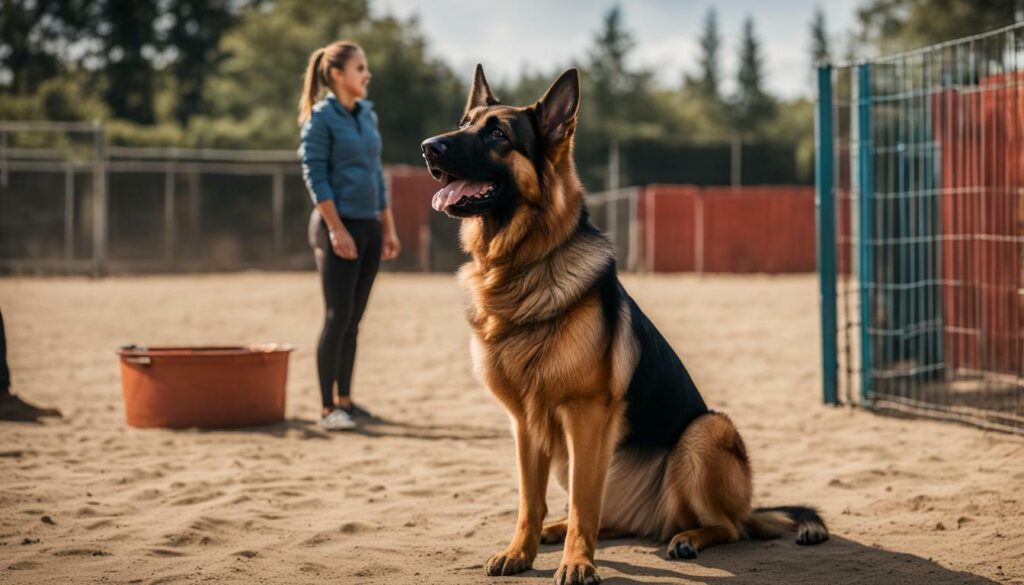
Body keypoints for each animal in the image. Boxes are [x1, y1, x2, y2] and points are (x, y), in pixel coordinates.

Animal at [419, 65, 827, 585]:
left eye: (497, 134)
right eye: (464, 123)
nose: (428, 147)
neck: (521, 266)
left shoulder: (586, 416)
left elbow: (583, 505)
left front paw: (577, 563)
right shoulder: (525, 423)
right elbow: (530, 501)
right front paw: (521, 551)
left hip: (706, 431)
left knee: (728, 526)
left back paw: (687, 538)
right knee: (604, 516)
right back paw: (557, 531)